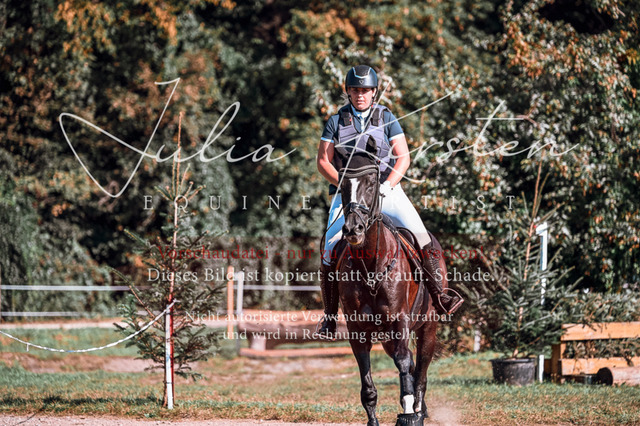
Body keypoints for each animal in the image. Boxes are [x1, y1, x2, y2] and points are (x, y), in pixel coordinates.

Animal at [333, 147, 448, 426]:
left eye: (372, 183)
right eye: (343, 186)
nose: (353, 229)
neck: (372, 266)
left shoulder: (400, 321)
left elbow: (405, 363)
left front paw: (409, 412)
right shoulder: (357, 331)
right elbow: (367, 382)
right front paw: (373, 419)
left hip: (428, 328)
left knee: (420, 370)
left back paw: (418, 409)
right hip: (387, 337)